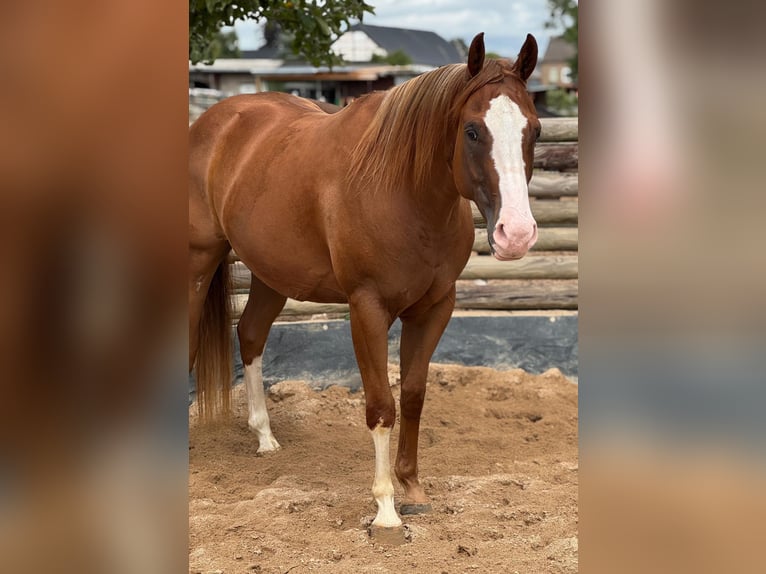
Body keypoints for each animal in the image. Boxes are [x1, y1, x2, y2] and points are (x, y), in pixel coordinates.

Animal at [189, 32, 540, 533]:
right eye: (472, 131)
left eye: (535, 131)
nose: (517, 234)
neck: (403, 191)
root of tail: (212, 122)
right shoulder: (367, 308)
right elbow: (381, 406)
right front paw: (386, 510)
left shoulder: (435, 307)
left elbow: (412, 394)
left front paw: (412, 487)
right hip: (198, 262)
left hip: (271, 274)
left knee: (251, 334)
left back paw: (264, 436)